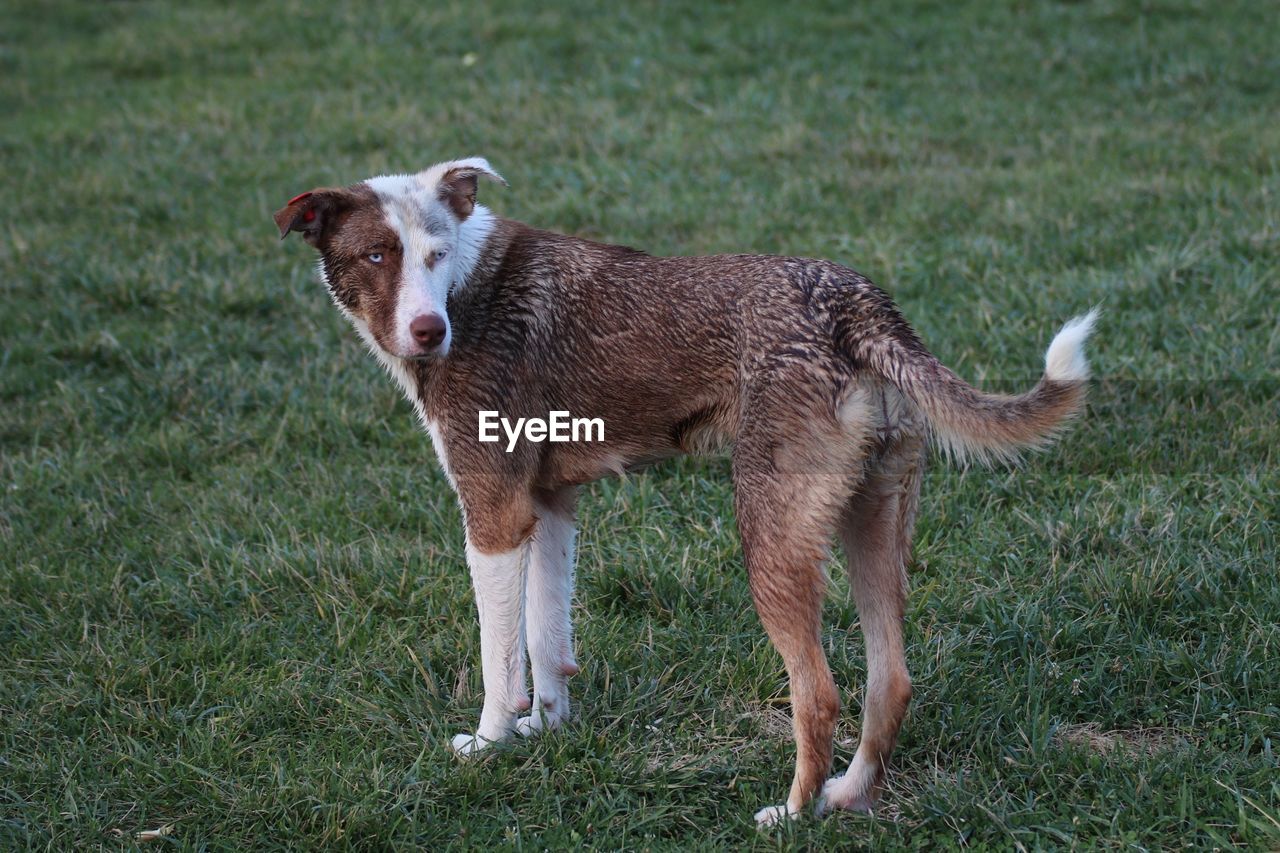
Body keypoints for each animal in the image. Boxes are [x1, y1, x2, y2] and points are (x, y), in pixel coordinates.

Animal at [275, 156, 1095, 819]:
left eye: (436, 254)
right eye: (376, 255)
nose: (428, 333)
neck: (469, 288)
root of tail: (856, 303)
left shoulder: (494, 517)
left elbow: (498, 658)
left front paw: (492, 743)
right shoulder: (550, 507)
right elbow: (547, 638)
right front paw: (547, 730)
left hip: (769, 535)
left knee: (819, 693)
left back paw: (792, 814)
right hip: (872, 524)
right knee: (890, 683)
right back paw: (845, 798)